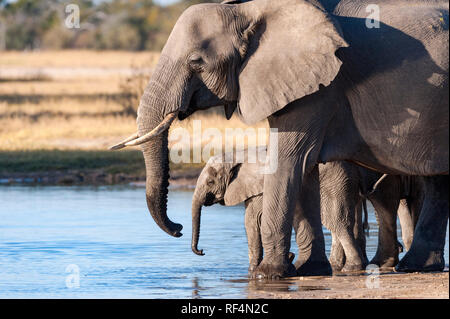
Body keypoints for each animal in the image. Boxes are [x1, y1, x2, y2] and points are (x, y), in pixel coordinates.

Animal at [110, 0, 448, 278]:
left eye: (197, 62)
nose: (179, 230)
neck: (249, 10)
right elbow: (305, 169)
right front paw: (308, 270)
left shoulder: (320, 86)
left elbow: (290, 161)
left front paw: (267, 275)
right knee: (431, 183)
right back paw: (416, 266)